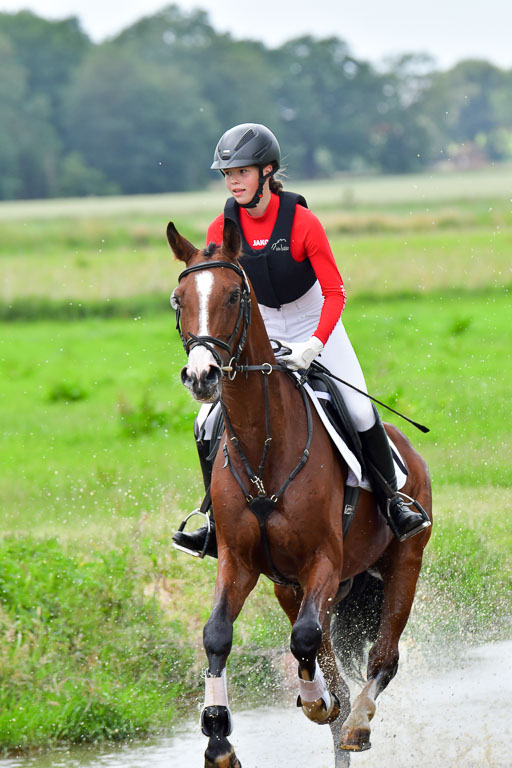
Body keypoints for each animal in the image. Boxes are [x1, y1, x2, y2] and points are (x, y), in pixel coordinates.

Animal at [166, 218, 432, 768]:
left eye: (233, 295)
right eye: (179, 300)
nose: (202, 376)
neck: (265, 447)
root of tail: (409, 451)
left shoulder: (323, 561)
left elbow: (304, 639)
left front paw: (313, 702)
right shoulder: (241, 562)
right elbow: (217, 635)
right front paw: (218, 738)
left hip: (403, 563)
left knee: (382, 658)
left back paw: (356, 723)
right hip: (293, 588)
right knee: (336, 671)